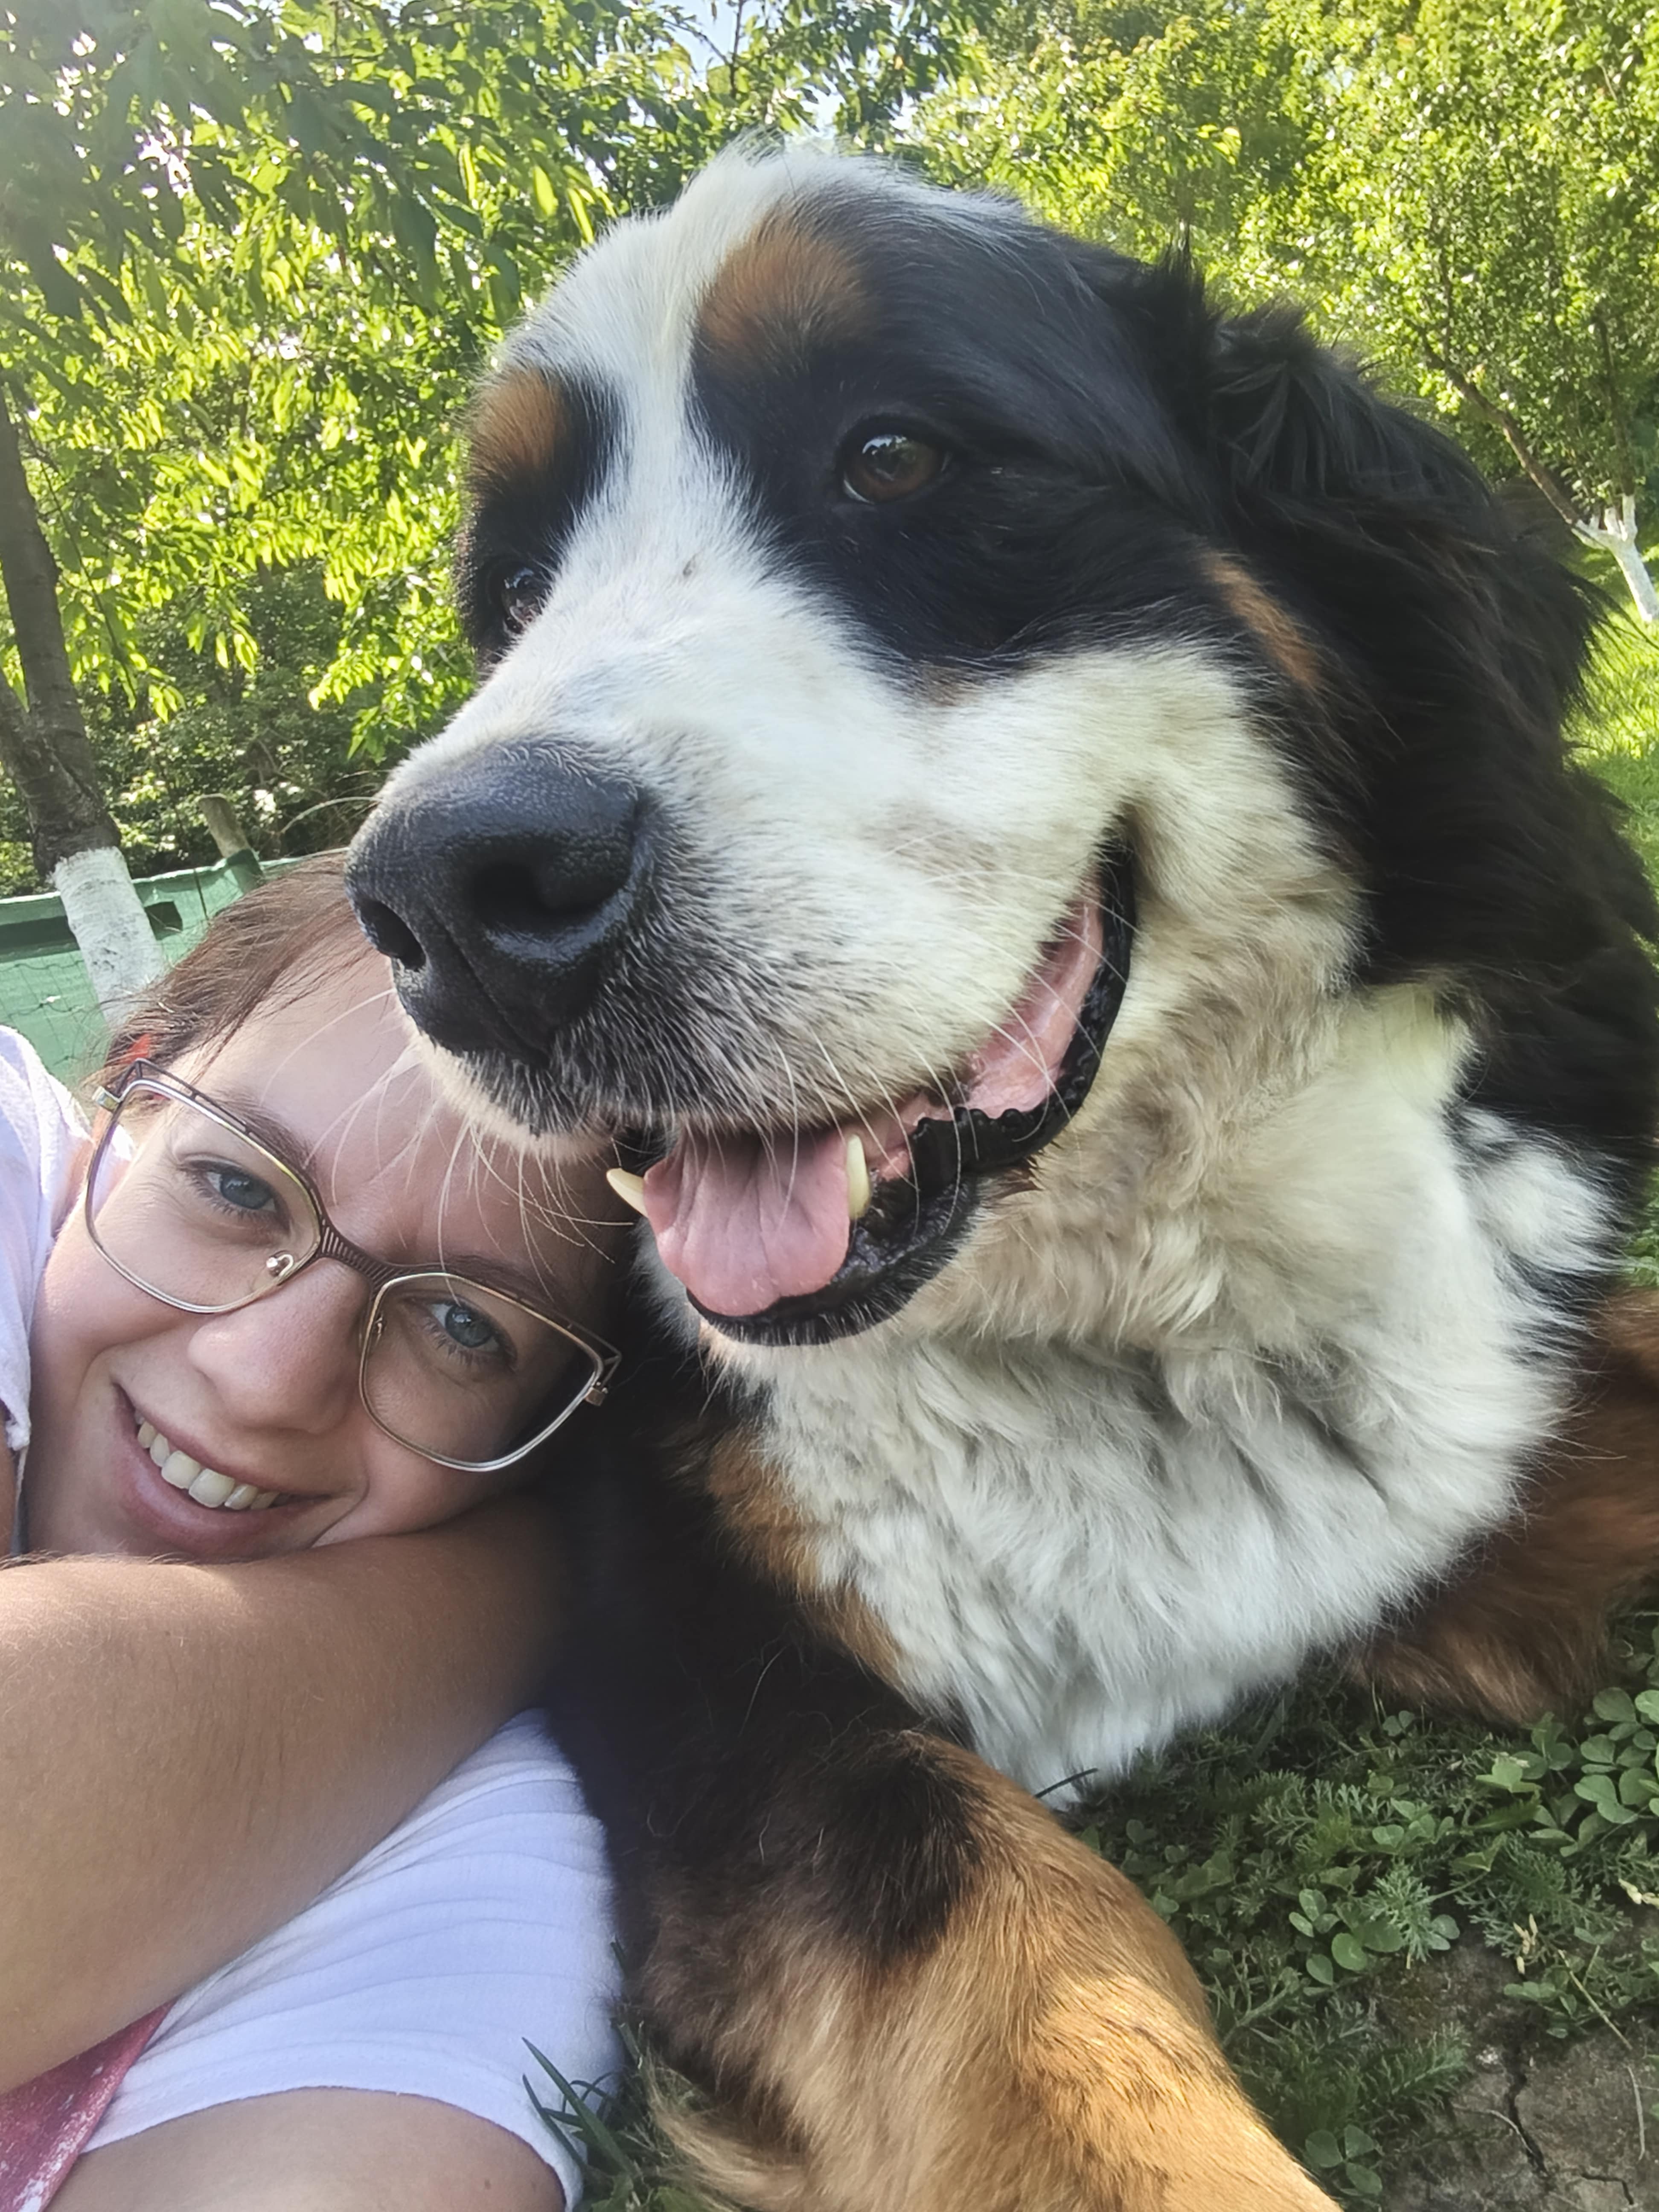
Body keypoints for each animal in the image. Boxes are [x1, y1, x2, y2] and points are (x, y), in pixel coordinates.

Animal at [346, 144, 1659, 2210]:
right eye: (518, 591)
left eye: (893, 456)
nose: (451, 896)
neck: (1139, 1325)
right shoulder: (695, 1655)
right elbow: (1002, 1938)